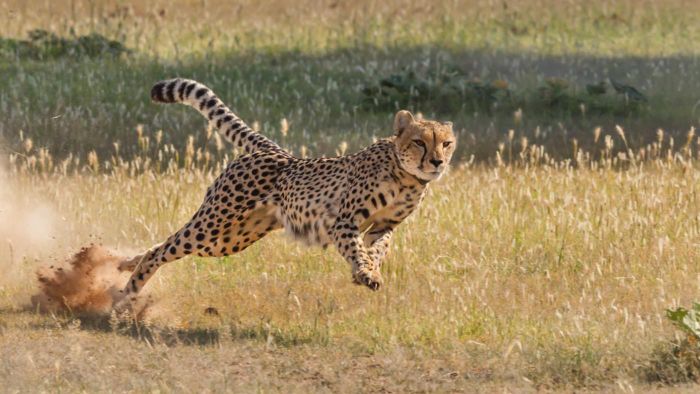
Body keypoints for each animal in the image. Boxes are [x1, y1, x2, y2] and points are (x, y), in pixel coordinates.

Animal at [116, 77, 454, 306]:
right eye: (420, 142)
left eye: (447, 143)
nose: (437, 161)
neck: (406, 176)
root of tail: (274, 151)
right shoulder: (344, 221)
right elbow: (357, 248)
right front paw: (367, 272)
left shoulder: (384, 225)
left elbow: (378, 248)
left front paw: (369, 270)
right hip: (215, 224)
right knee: (164, 249)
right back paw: (126, 294)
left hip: (231, 238)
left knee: (164, 245)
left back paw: (125, 264)